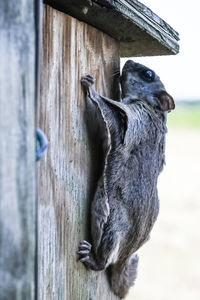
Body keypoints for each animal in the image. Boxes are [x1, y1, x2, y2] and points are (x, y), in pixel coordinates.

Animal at [77, 59, 174, 298]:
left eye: (148, 74)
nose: (128, 61)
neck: (152, 109)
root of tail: (127, 255)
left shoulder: (135, 121)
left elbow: (109, 110)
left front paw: (91, 87)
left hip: (112, 226)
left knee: (104, 261)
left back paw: (92, 258)